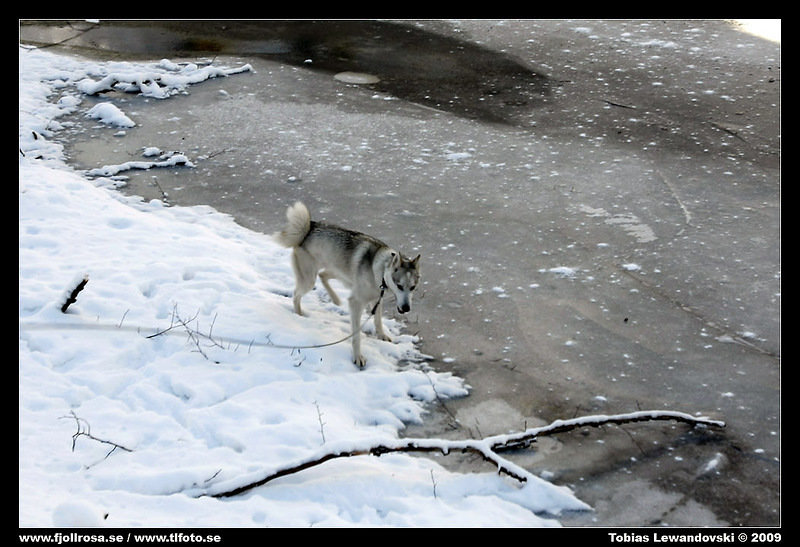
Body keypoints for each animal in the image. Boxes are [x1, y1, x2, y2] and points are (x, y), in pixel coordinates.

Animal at [274, 202, 421, 367]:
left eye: (413, 287)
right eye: (400, 286)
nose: (406, 308)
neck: (379, 268)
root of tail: (309, 228)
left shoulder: (376, 298)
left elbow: (378, 320)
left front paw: (382, 335)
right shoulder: (356, 303)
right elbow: (357, 336)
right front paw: (358, 357)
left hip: (337, 271)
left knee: (323, 275)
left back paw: (336, 299)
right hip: (309, 279)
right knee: (296, 294)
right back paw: (299, 314)